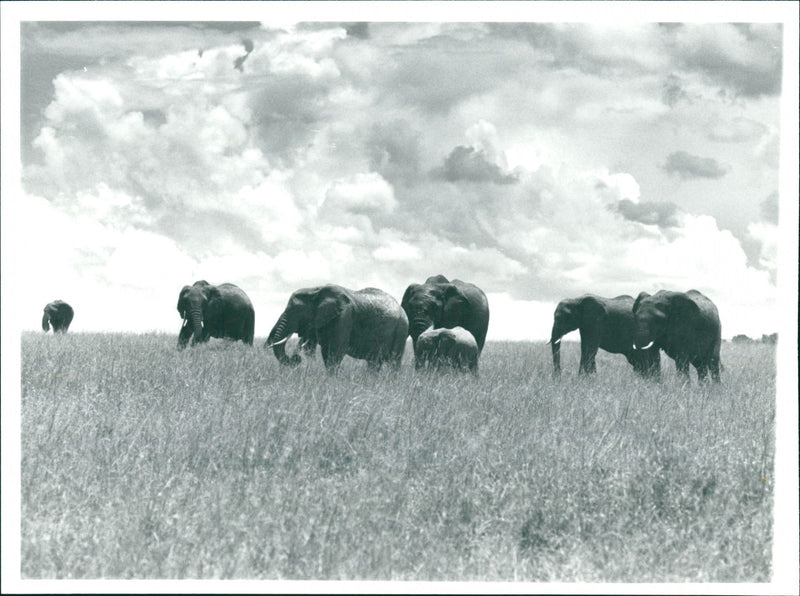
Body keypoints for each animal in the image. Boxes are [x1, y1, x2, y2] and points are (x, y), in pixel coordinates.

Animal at [266, 284, 409, 373]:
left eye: (296, 311)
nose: (296, 358)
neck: (315, 289)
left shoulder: (344, 317)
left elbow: (336, 350)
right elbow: (326, 351)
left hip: (401, 329)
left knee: (394, 360)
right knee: (374, 362)